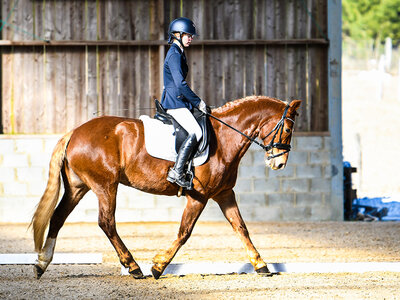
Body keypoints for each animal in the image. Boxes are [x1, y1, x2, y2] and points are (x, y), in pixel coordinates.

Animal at [31, 95, 300, 278]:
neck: (224, 139)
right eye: (287, 128)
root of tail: (75, 132)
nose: (279, 163)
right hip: (105, 186)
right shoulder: (199, 196)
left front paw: (261, 264)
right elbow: (184, 232)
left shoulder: (224, 193)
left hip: (78, 187)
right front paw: (158, 266)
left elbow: (241, 228)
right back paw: (134, 267)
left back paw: (42, 263)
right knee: (106, 223)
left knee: (58, 217)